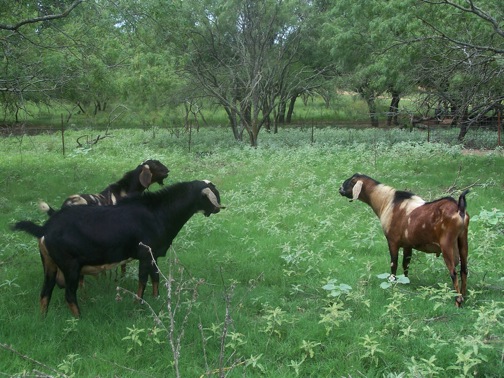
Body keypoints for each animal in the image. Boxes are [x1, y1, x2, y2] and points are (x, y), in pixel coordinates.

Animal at [12, 179, 224, 316]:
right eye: (212, 195)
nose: (217, 208)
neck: (159, 213)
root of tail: (45, 229)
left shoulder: (153, 255)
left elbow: (155, 277)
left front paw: (156, 298)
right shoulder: (145, 254)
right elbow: (143, 280)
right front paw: (138, 304)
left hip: (49, 264)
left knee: (45, 292)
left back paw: (43, 318)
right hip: (70, 266)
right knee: (69, 295)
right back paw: (79, 318)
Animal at [338, 174, 468, 308]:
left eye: (352, 181)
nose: (340, 189)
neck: (388, 202)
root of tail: (459, 208)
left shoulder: (392, 241)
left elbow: (394, 263)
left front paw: (392, 281)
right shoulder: (408, 245)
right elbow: (406, 264)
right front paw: (405, 282)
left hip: (447, 244)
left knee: (453, 272)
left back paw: (458, 301)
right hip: (463, 240)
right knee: (464, 269)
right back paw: (464, 295)